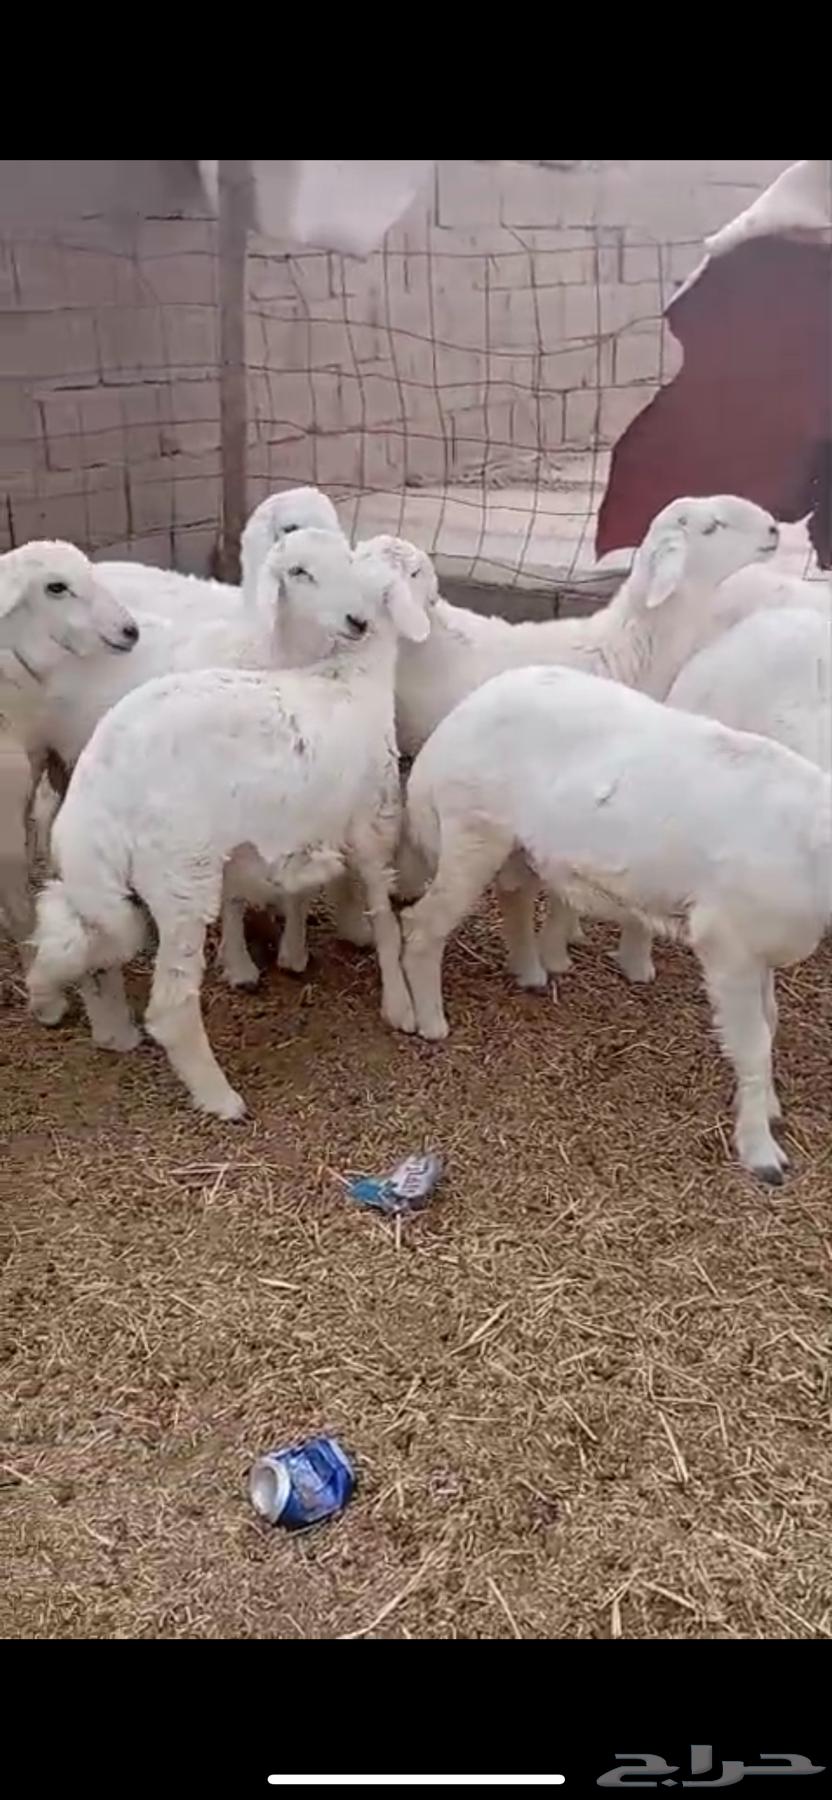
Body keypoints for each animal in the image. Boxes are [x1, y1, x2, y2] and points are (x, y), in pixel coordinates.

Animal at [26, 529, 429, 1120]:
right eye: (415, 573)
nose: (357, 622)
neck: (351, 675)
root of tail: (99, 793)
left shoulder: (288, 828)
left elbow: (292, 891)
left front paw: (288, 953)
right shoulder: (373, 822)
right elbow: (384, 918)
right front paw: (399, 1004)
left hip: (96, 875)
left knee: (77, 937)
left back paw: (69, 1006)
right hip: (181, 876)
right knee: (170, 1006)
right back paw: (219, 1096)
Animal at [398, 663, 831, 1182]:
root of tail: (454, 722)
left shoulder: (758, 944)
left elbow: (771, 1020)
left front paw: (769, 1109)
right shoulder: (729, 942)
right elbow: (753, 1044)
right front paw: (762, 1155)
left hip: (515, 842)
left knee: (514, 894)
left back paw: (530, 974)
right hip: (471, 828)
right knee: (422, 925)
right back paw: (431, 1021)